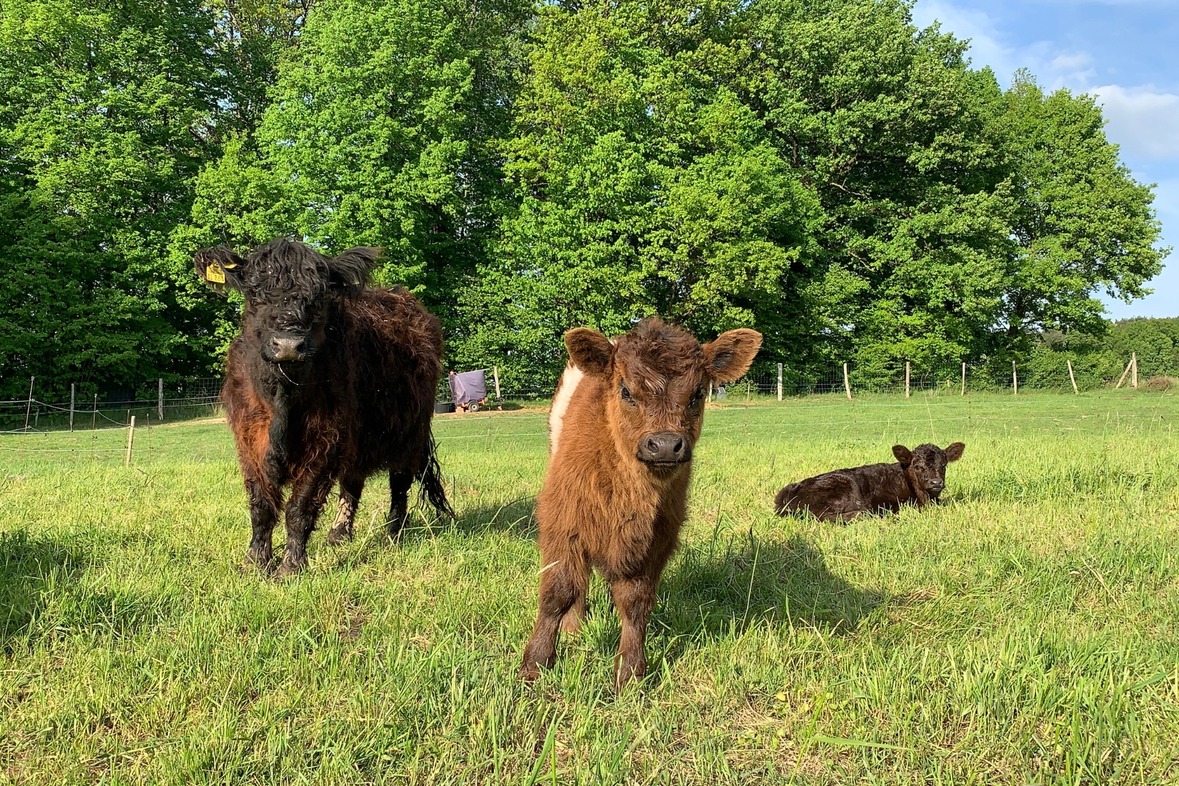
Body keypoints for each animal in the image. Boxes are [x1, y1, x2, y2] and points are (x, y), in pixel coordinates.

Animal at [194, 238, 452, 576]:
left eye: (318, 298)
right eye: (255, 293)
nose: (288, 345)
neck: (282, 397)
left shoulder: (326, 440)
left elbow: (300, 507)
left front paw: (291, 567)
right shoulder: (249, 441)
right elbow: (261, 505)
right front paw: (255, 562)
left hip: (410, 433)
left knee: (399, 483)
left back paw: (393, 532)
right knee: (353, 480)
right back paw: (339, 534)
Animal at [521, 318, 762, 688]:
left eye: (697, 393)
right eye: (625, 391)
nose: (664, 445)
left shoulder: (657, 540)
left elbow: (636, 602)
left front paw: (630, 672)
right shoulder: (563, 523)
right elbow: (557, 592)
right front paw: (535, 664)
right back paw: (575, 626)